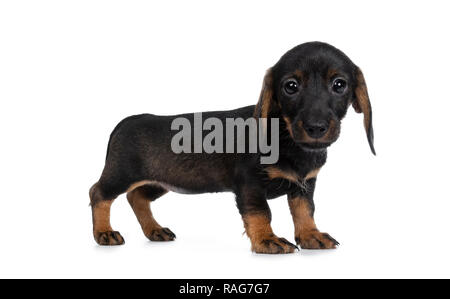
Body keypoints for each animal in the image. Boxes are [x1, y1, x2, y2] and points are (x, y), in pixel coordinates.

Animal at [89, 41, 374, 254]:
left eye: (340, 84)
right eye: (290, 86)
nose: (316, 128)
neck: (287, 139)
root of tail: (129, 120)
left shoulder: (304, 185)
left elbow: (305, 211)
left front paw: (310, 235)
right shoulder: (250, 184)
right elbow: (260, 212)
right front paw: (266, 239)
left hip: (159, 181)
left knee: (136, 197)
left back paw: (154, 230)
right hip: (122, 174)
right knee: (99, 193)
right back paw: (104, 232)